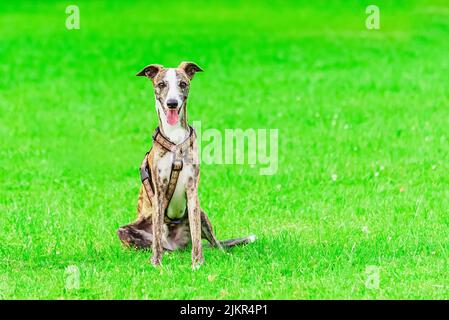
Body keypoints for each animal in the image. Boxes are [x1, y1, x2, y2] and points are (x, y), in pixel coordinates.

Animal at [116, 61, 256, 268]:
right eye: (161, 84)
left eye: (182, 84)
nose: (172, 103)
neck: (174, 139)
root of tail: (175, 245)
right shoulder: (159, 191)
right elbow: (156, 237)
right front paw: (156, 263)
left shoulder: (192, 191)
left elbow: (197, 235)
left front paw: (197, 263)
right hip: (124, 230)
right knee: (156, 243)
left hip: (202, 214)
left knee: (215, 244)